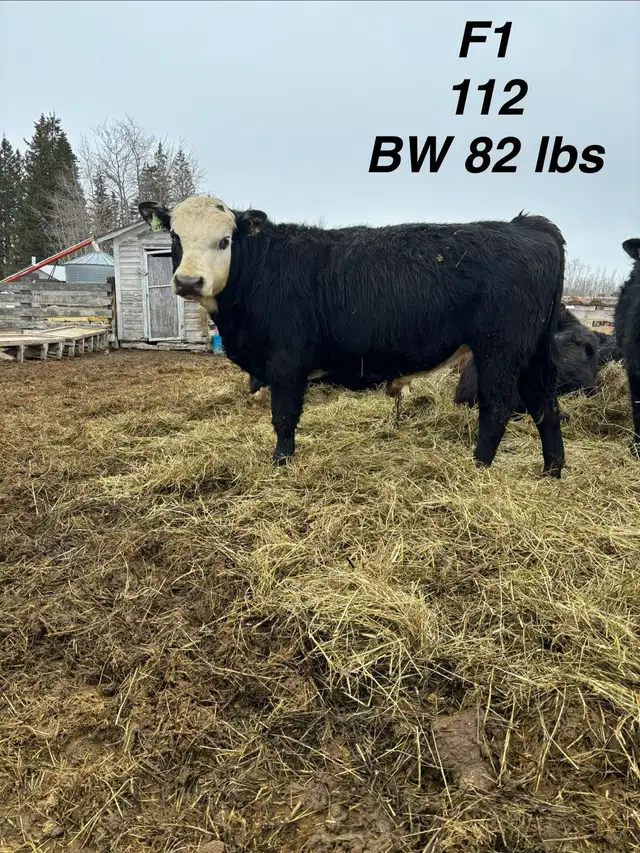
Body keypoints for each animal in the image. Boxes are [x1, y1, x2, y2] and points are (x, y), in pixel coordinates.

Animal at [138, 197, 566, 477]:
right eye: (175, 237)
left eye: (225, 240)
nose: (189, 281)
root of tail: (525, 225)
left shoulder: (286, 362)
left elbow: (283, 417)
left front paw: (281, 464)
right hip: (532, 350)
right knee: (545, 403)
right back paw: (551, 470)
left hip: (499, 348)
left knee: (497, 406)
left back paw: (478, 468)